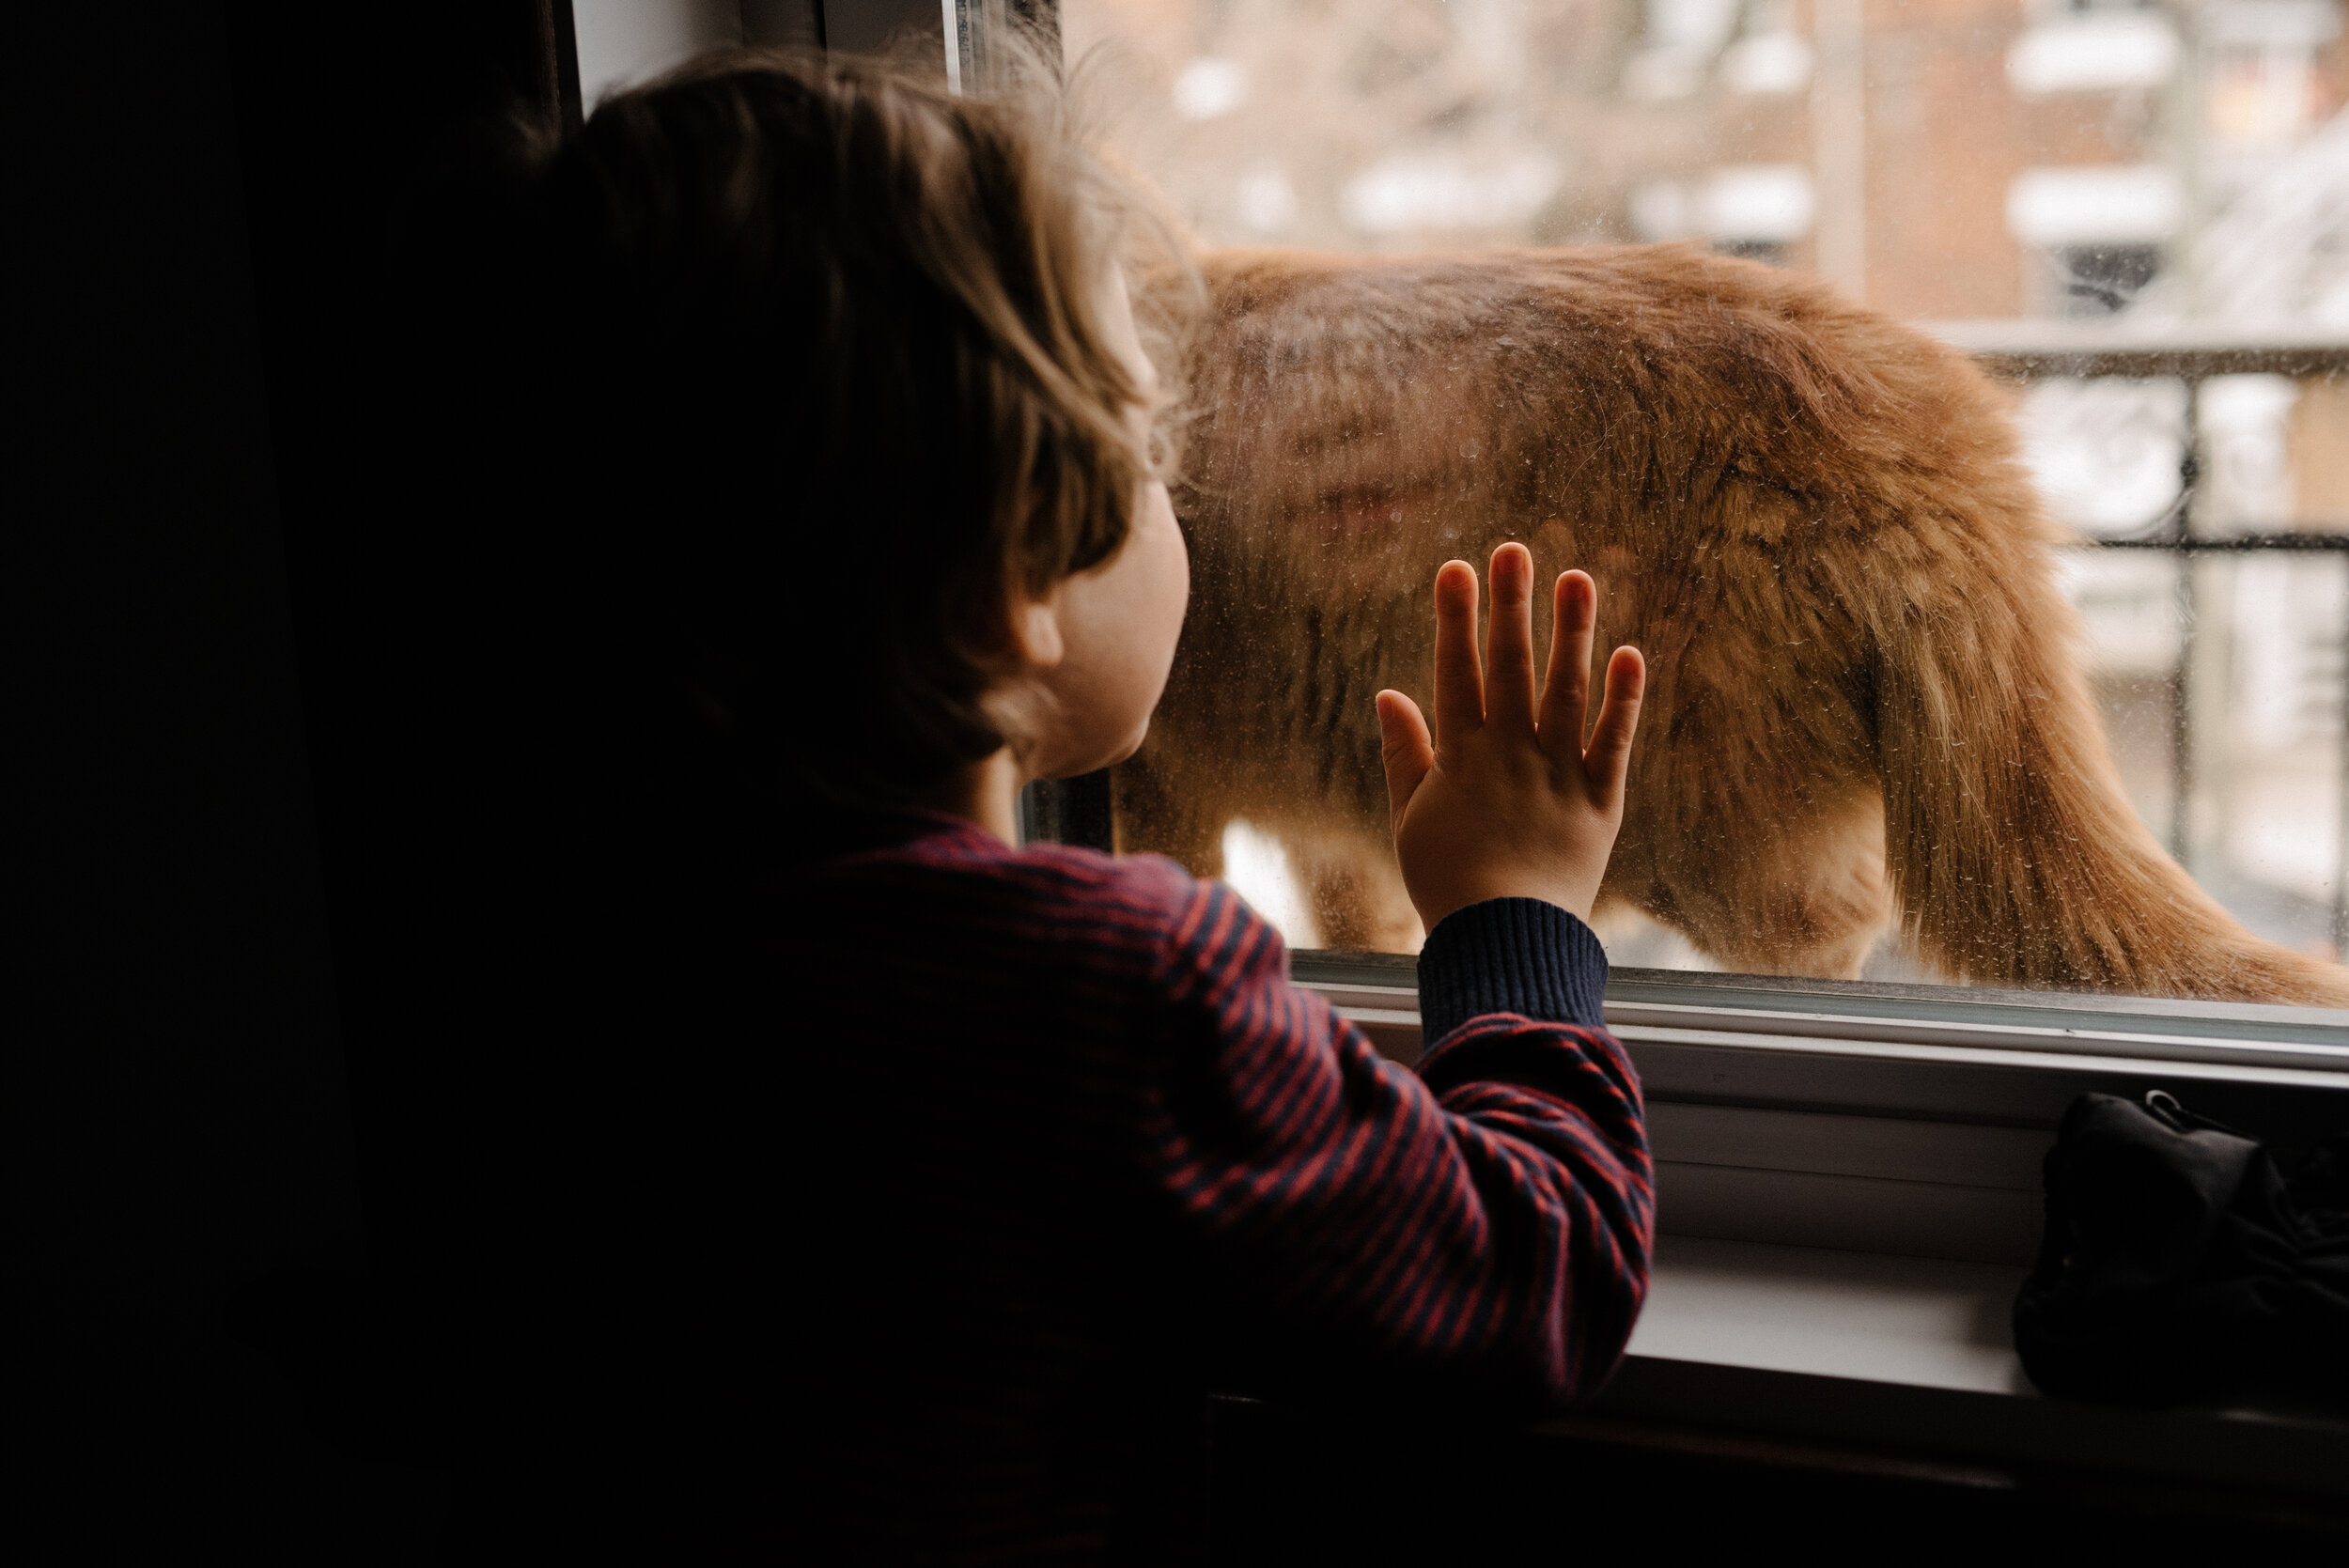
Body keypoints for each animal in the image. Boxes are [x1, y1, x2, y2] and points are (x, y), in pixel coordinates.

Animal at [1109, 245, 2349, 1004]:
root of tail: (1934, 424)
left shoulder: (1160, 783)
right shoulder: (1328, 812)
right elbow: (1357, 916)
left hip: (1697, 827)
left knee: (1826, 926)